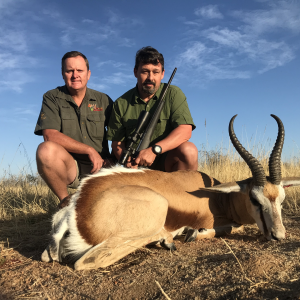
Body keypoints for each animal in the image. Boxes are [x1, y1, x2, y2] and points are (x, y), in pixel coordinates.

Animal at [41, 114, 300, 270]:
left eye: (281, 200)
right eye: (254, 199)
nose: (278, 236)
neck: (219, 198)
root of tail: (77, 206)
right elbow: (230, 228)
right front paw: (192, 233)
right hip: (154, 212)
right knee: (86, 262)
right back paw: (167, 240)